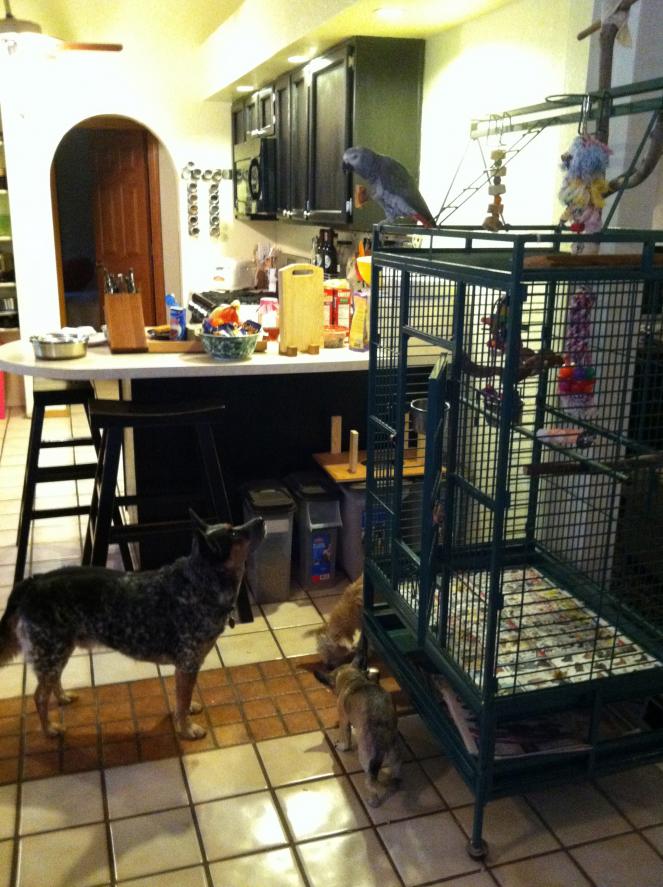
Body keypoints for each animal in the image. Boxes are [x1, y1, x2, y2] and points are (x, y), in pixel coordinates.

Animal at [0, 511, 264, 740]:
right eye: (233, 534)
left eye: (234, 526)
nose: (261, 519)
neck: (199, 582)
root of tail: (33, 582)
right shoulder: (188, 664)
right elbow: (182, 699)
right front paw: (186, 729)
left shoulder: (184, 668)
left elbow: (182, 697)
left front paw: (185, 713)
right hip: (50, 651)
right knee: (38, 697)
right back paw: (49, 729)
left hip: (59, 651)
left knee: (52, 683)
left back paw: (63, 697)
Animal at [316, 660, 401, 807]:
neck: (354, 680)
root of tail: (382, 742)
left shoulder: (344, 719)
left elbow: (345, 737)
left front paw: (342, 746)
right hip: (395, 757)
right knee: (395, 775)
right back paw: (394, 784)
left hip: (366, 760)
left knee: (371, 783)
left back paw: (372, 800)